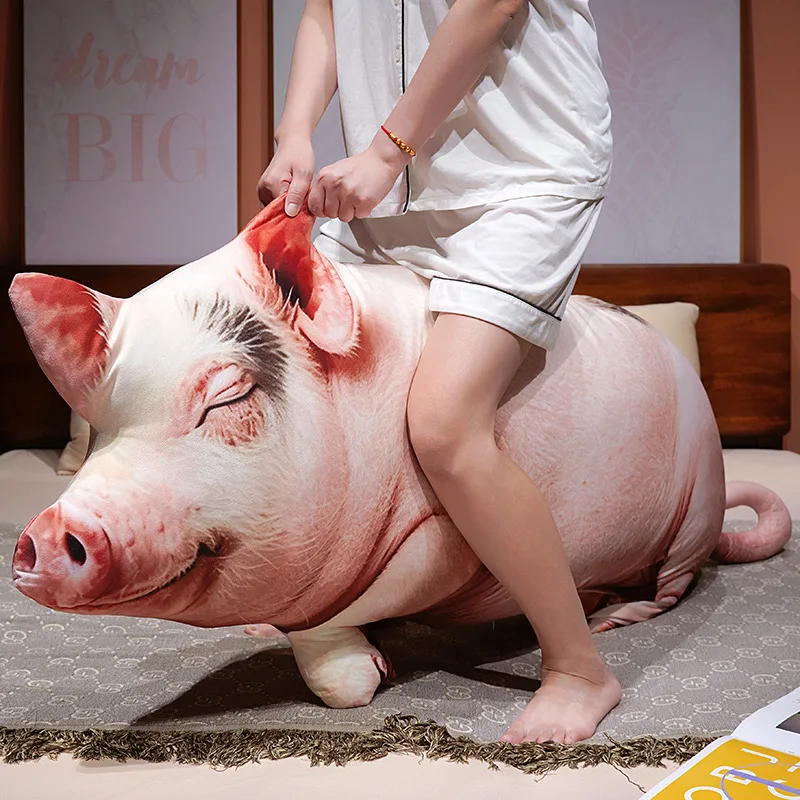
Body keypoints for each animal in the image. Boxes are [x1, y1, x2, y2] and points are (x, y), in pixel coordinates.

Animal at [9, 197, 792, 709]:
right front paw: (283, 633)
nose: (47, 533)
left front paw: (366, 679)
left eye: (227, 397)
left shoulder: (440, 536)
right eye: (98, 423)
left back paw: (613, 621)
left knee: (675, 582)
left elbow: (346, 620)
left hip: (700, 493)